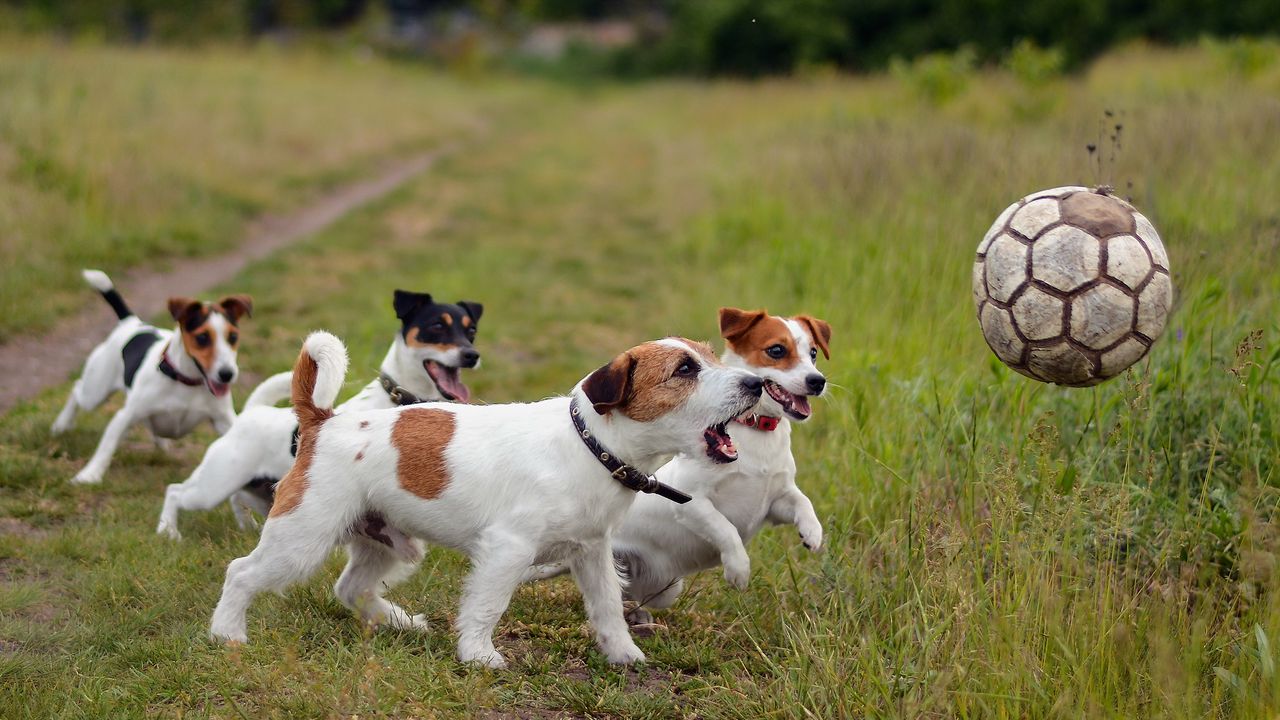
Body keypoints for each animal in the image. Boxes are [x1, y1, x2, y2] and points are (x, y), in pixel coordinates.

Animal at [208, 327, 757, 666]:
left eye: (711, 357)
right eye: (684, 370)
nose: (756, 383)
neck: (588, 445)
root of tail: (322, 421)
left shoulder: (592, 553)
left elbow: (606, 607)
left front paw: (623, 655)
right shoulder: (506, 551)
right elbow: (488, 605)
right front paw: (478, 655)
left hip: (391, 544)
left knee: (350, 586)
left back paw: (399, 622)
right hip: (302, 538)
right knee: (241, 572)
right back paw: (226, 634)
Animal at [527, 304, 829, 620]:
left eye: (813, 353)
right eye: (776, 350)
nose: (817, 381)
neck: (758, 437)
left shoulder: (775, 502)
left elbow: (802, 501)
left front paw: (813, 533)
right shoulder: (692, 503)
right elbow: (726, 529)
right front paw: (739, 569)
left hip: (664, 590)